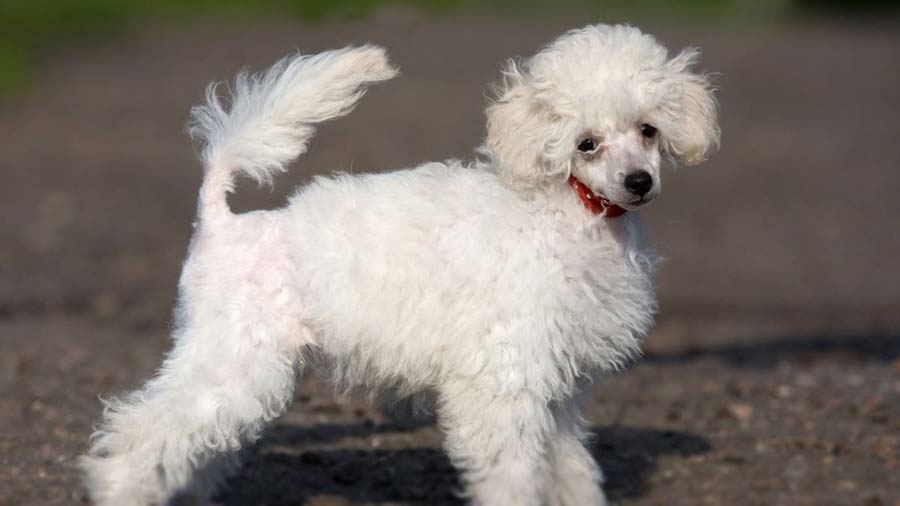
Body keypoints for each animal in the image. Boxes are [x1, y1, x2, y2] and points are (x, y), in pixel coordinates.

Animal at [81, 21, 720, 504]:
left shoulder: (558, 394)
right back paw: (119, 489)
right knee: (142, 435)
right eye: (586, 143)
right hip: (233, 361)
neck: (567, 212)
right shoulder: (501, 383)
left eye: (648, 130)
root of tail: (220, 218)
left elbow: (570, 474)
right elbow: (514, 478)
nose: (638, 182)